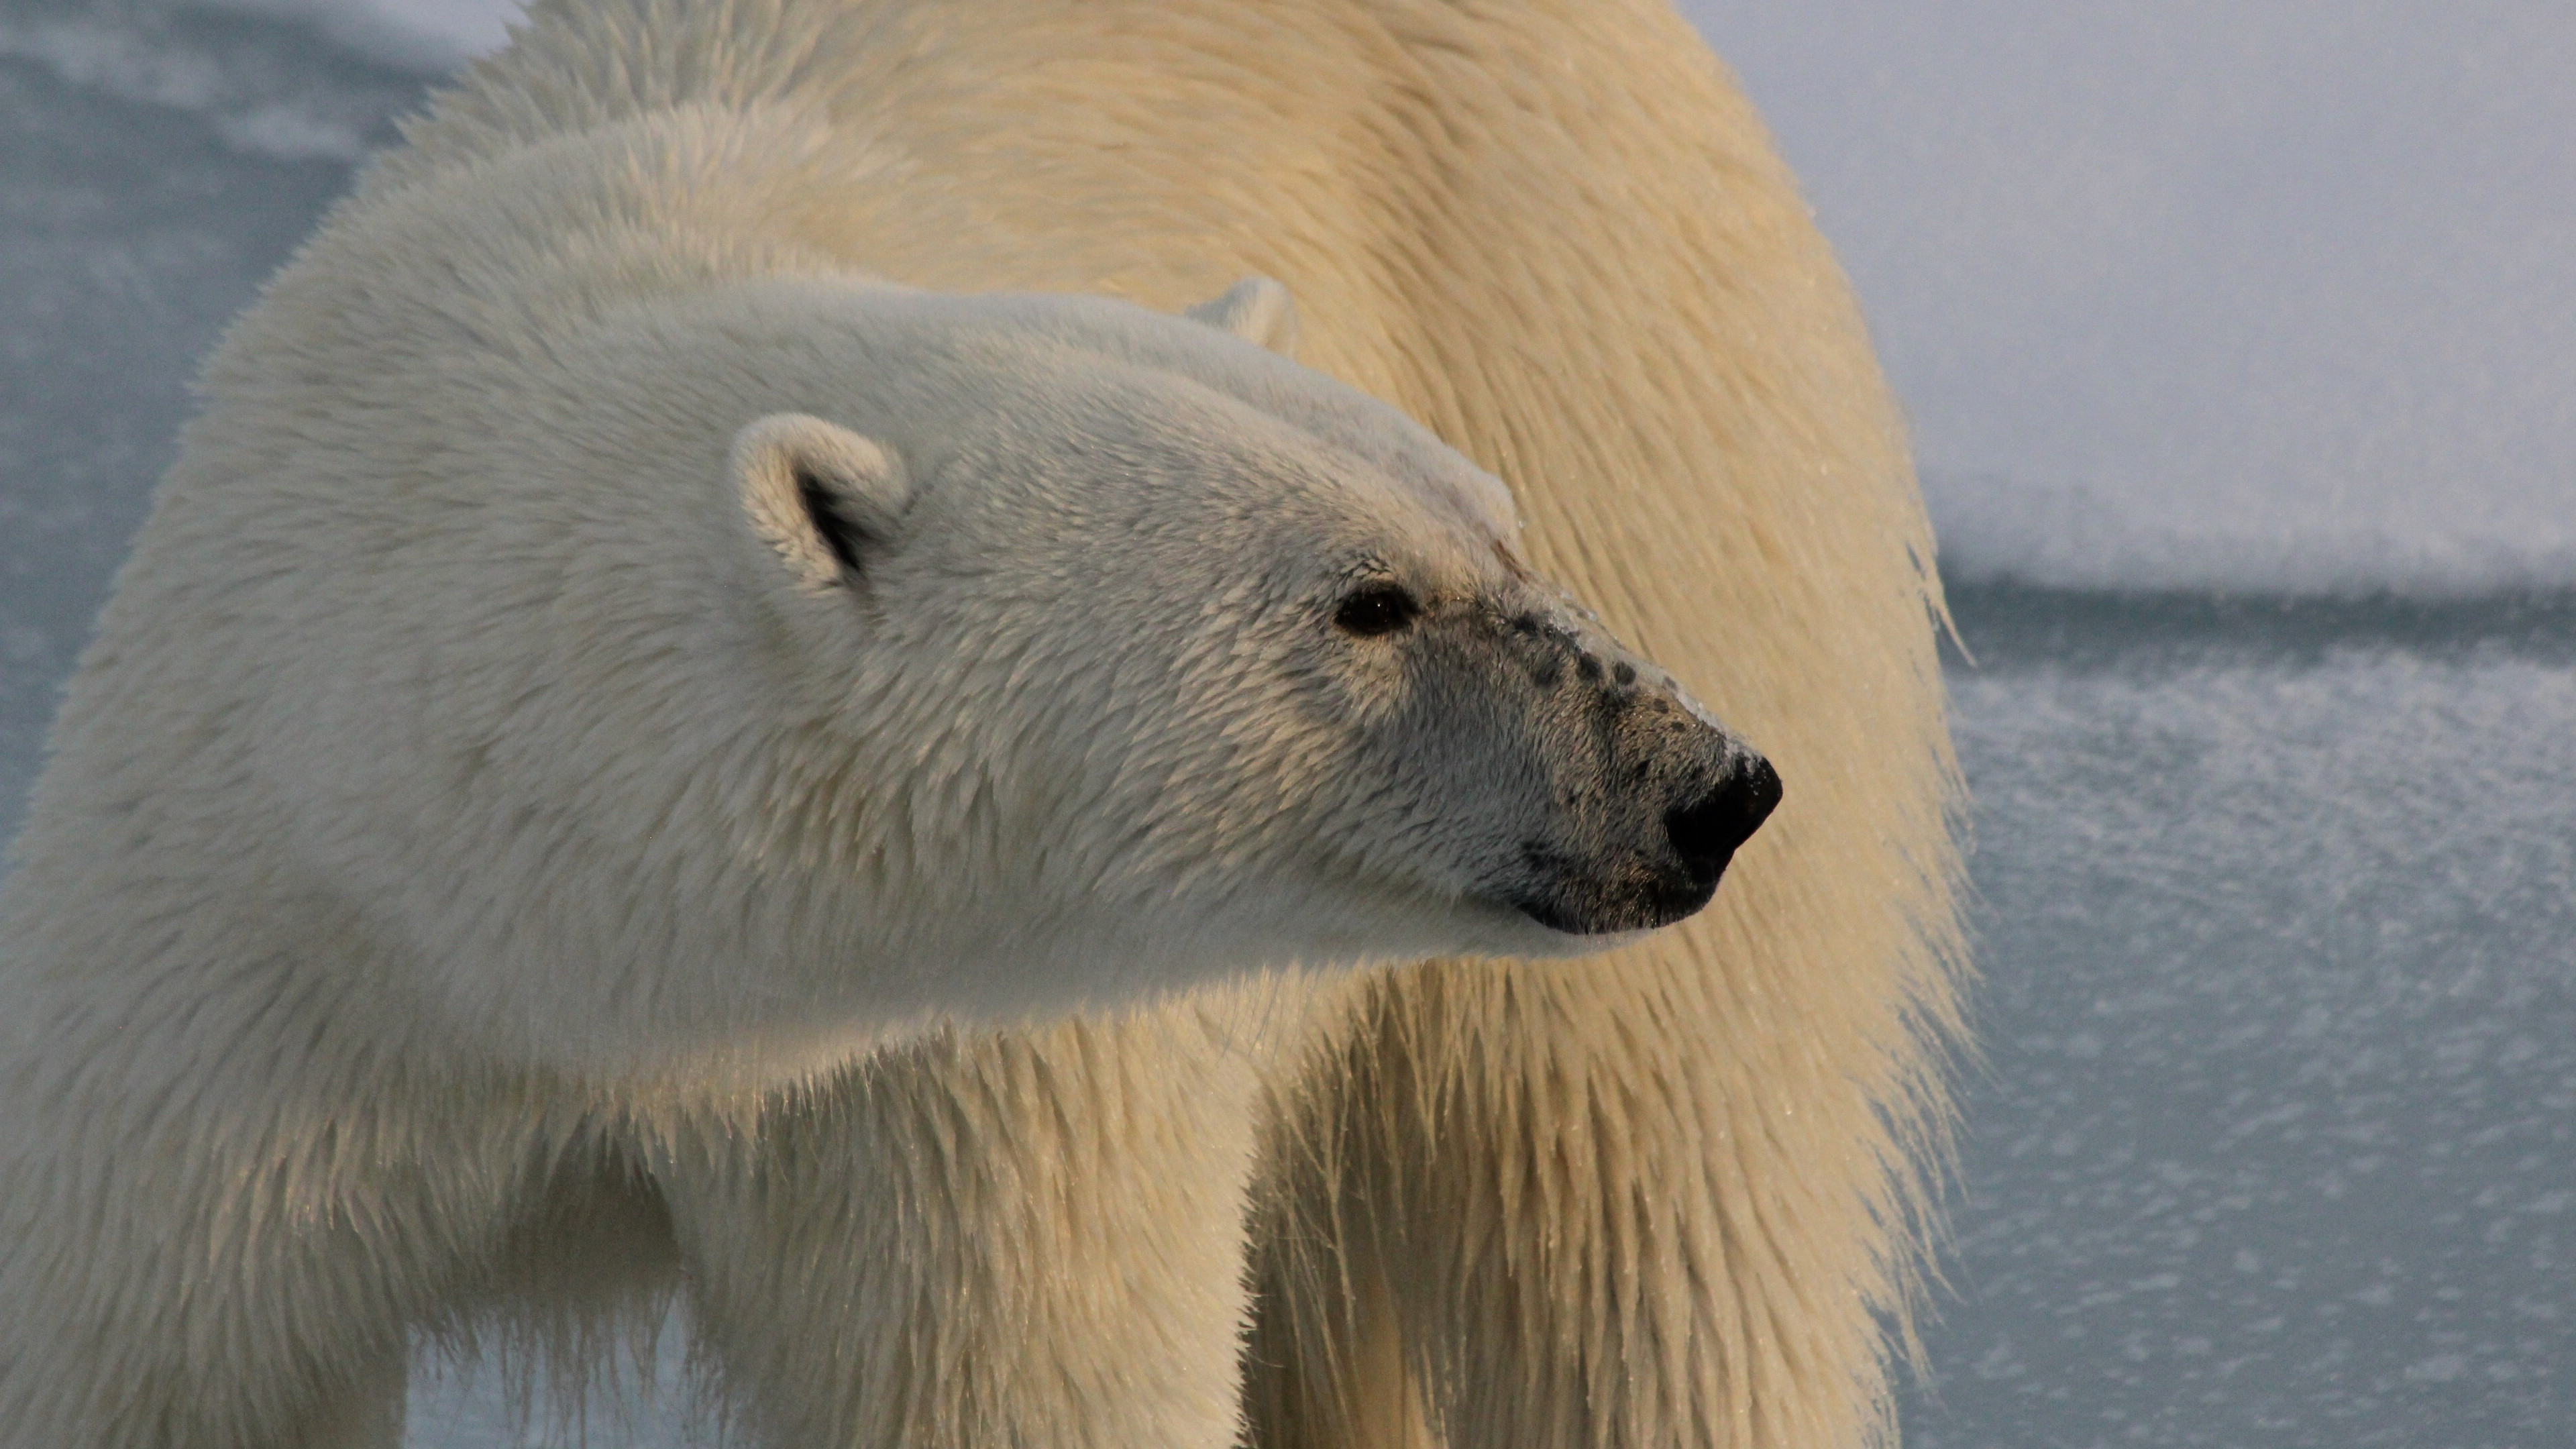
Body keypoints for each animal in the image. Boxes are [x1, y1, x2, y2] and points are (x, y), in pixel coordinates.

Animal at [0, 0, 1957, 1433]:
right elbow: (165, 1362)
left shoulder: (964, 1086)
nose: (1702, 786)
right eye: (1370, 600)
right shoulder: (247, 993)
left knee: (1653, 1232)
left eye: (1492, 528)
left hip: (1643, 388)